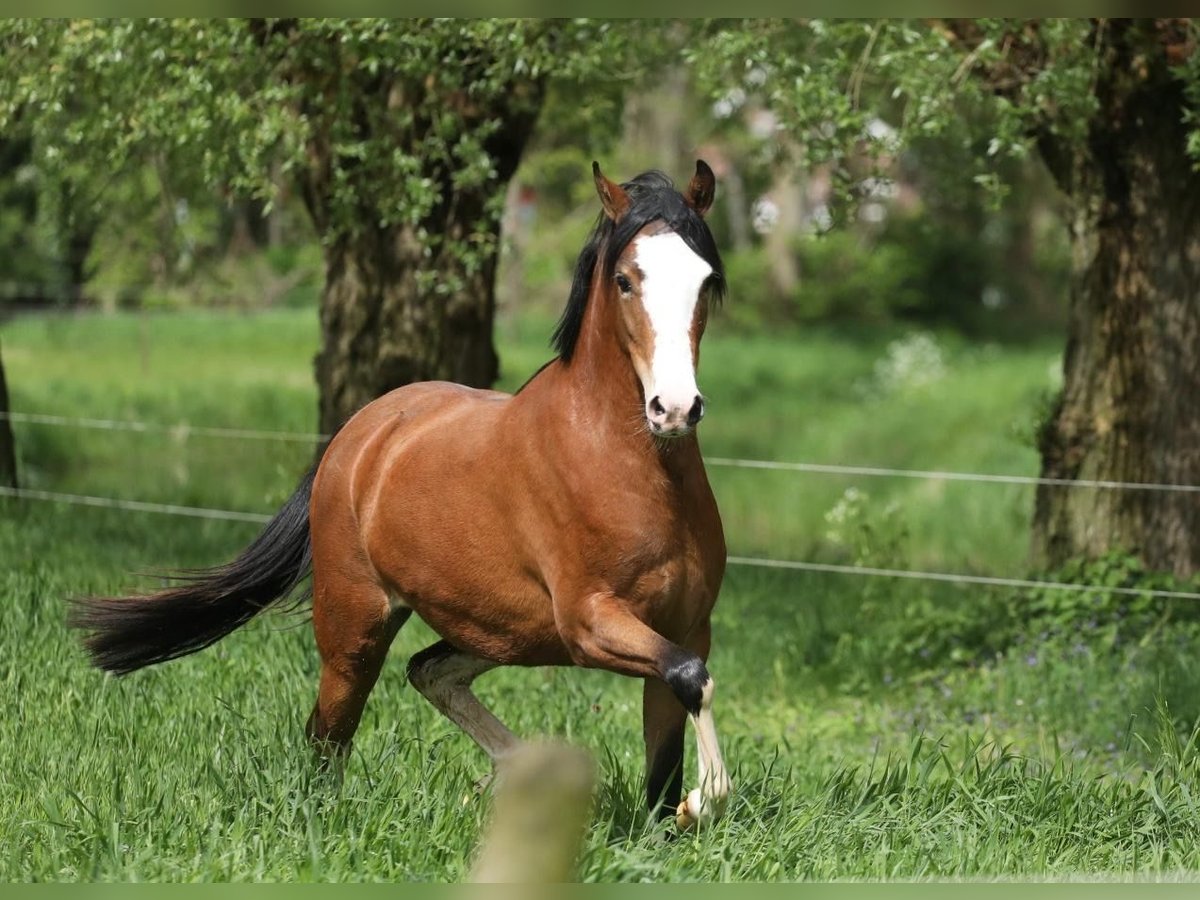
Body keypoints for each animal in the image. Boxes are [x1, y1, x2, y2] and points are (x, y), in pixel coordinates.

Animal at [77, 164, 729, 830]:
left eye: (706, 279)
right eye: (625, 280)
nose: (675, 408)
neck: (626, 470)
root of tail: (359, 433)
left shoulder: (684, 624)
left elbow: (668, 744)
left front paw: (676, 815)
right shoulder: (589, 621)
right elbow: (692, 678)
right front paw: (703, 800)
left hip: (500, 630)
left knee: (428, 671)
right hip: (356, 627)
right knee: (329, 732)